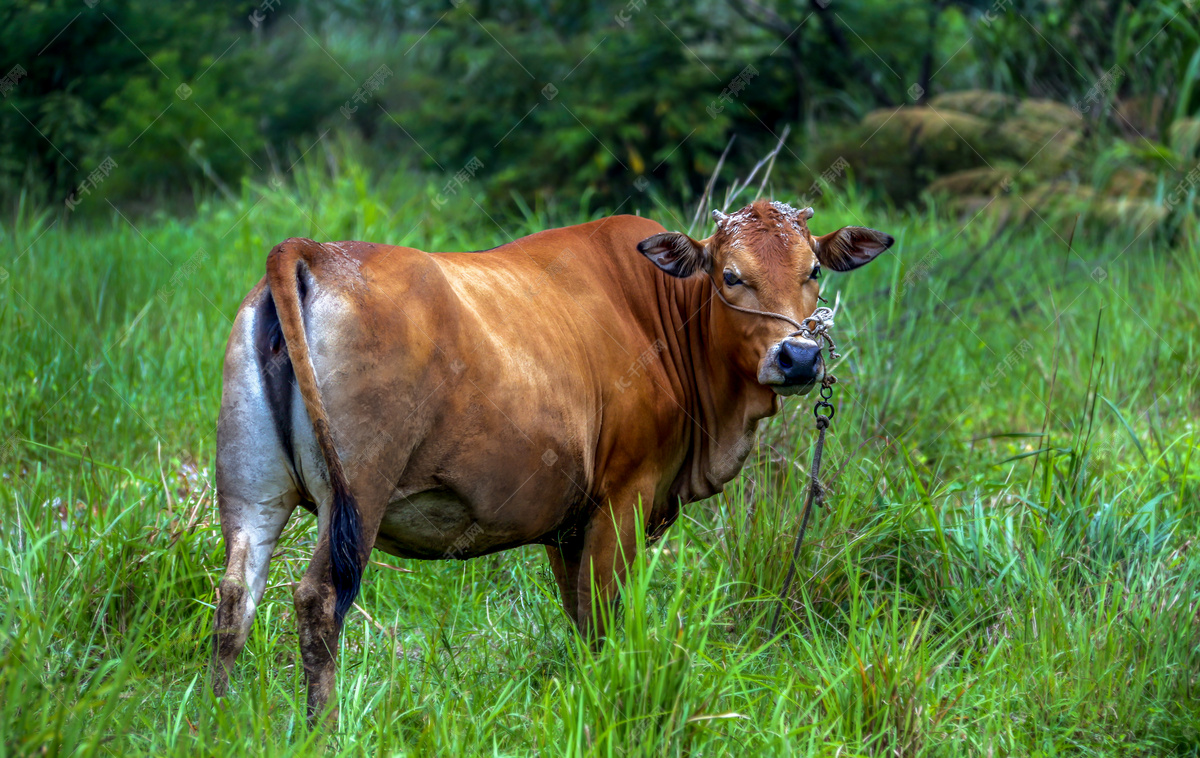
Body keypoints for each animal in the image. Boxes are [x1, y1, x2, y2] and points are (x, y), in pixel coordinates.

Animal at [211, 200, 892, 724]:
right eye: (731, 276)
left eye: (812, 271)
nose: (798, 356)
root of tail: (314, 251)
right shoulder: (624, 498)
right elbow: (605, 617)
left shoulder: (567, 525)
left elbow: (582, 618)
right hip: (357, 497)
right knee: (319, 601)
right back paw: (320, 729)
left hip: (251, 495)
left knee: (234, 600)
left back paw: (217, 720)